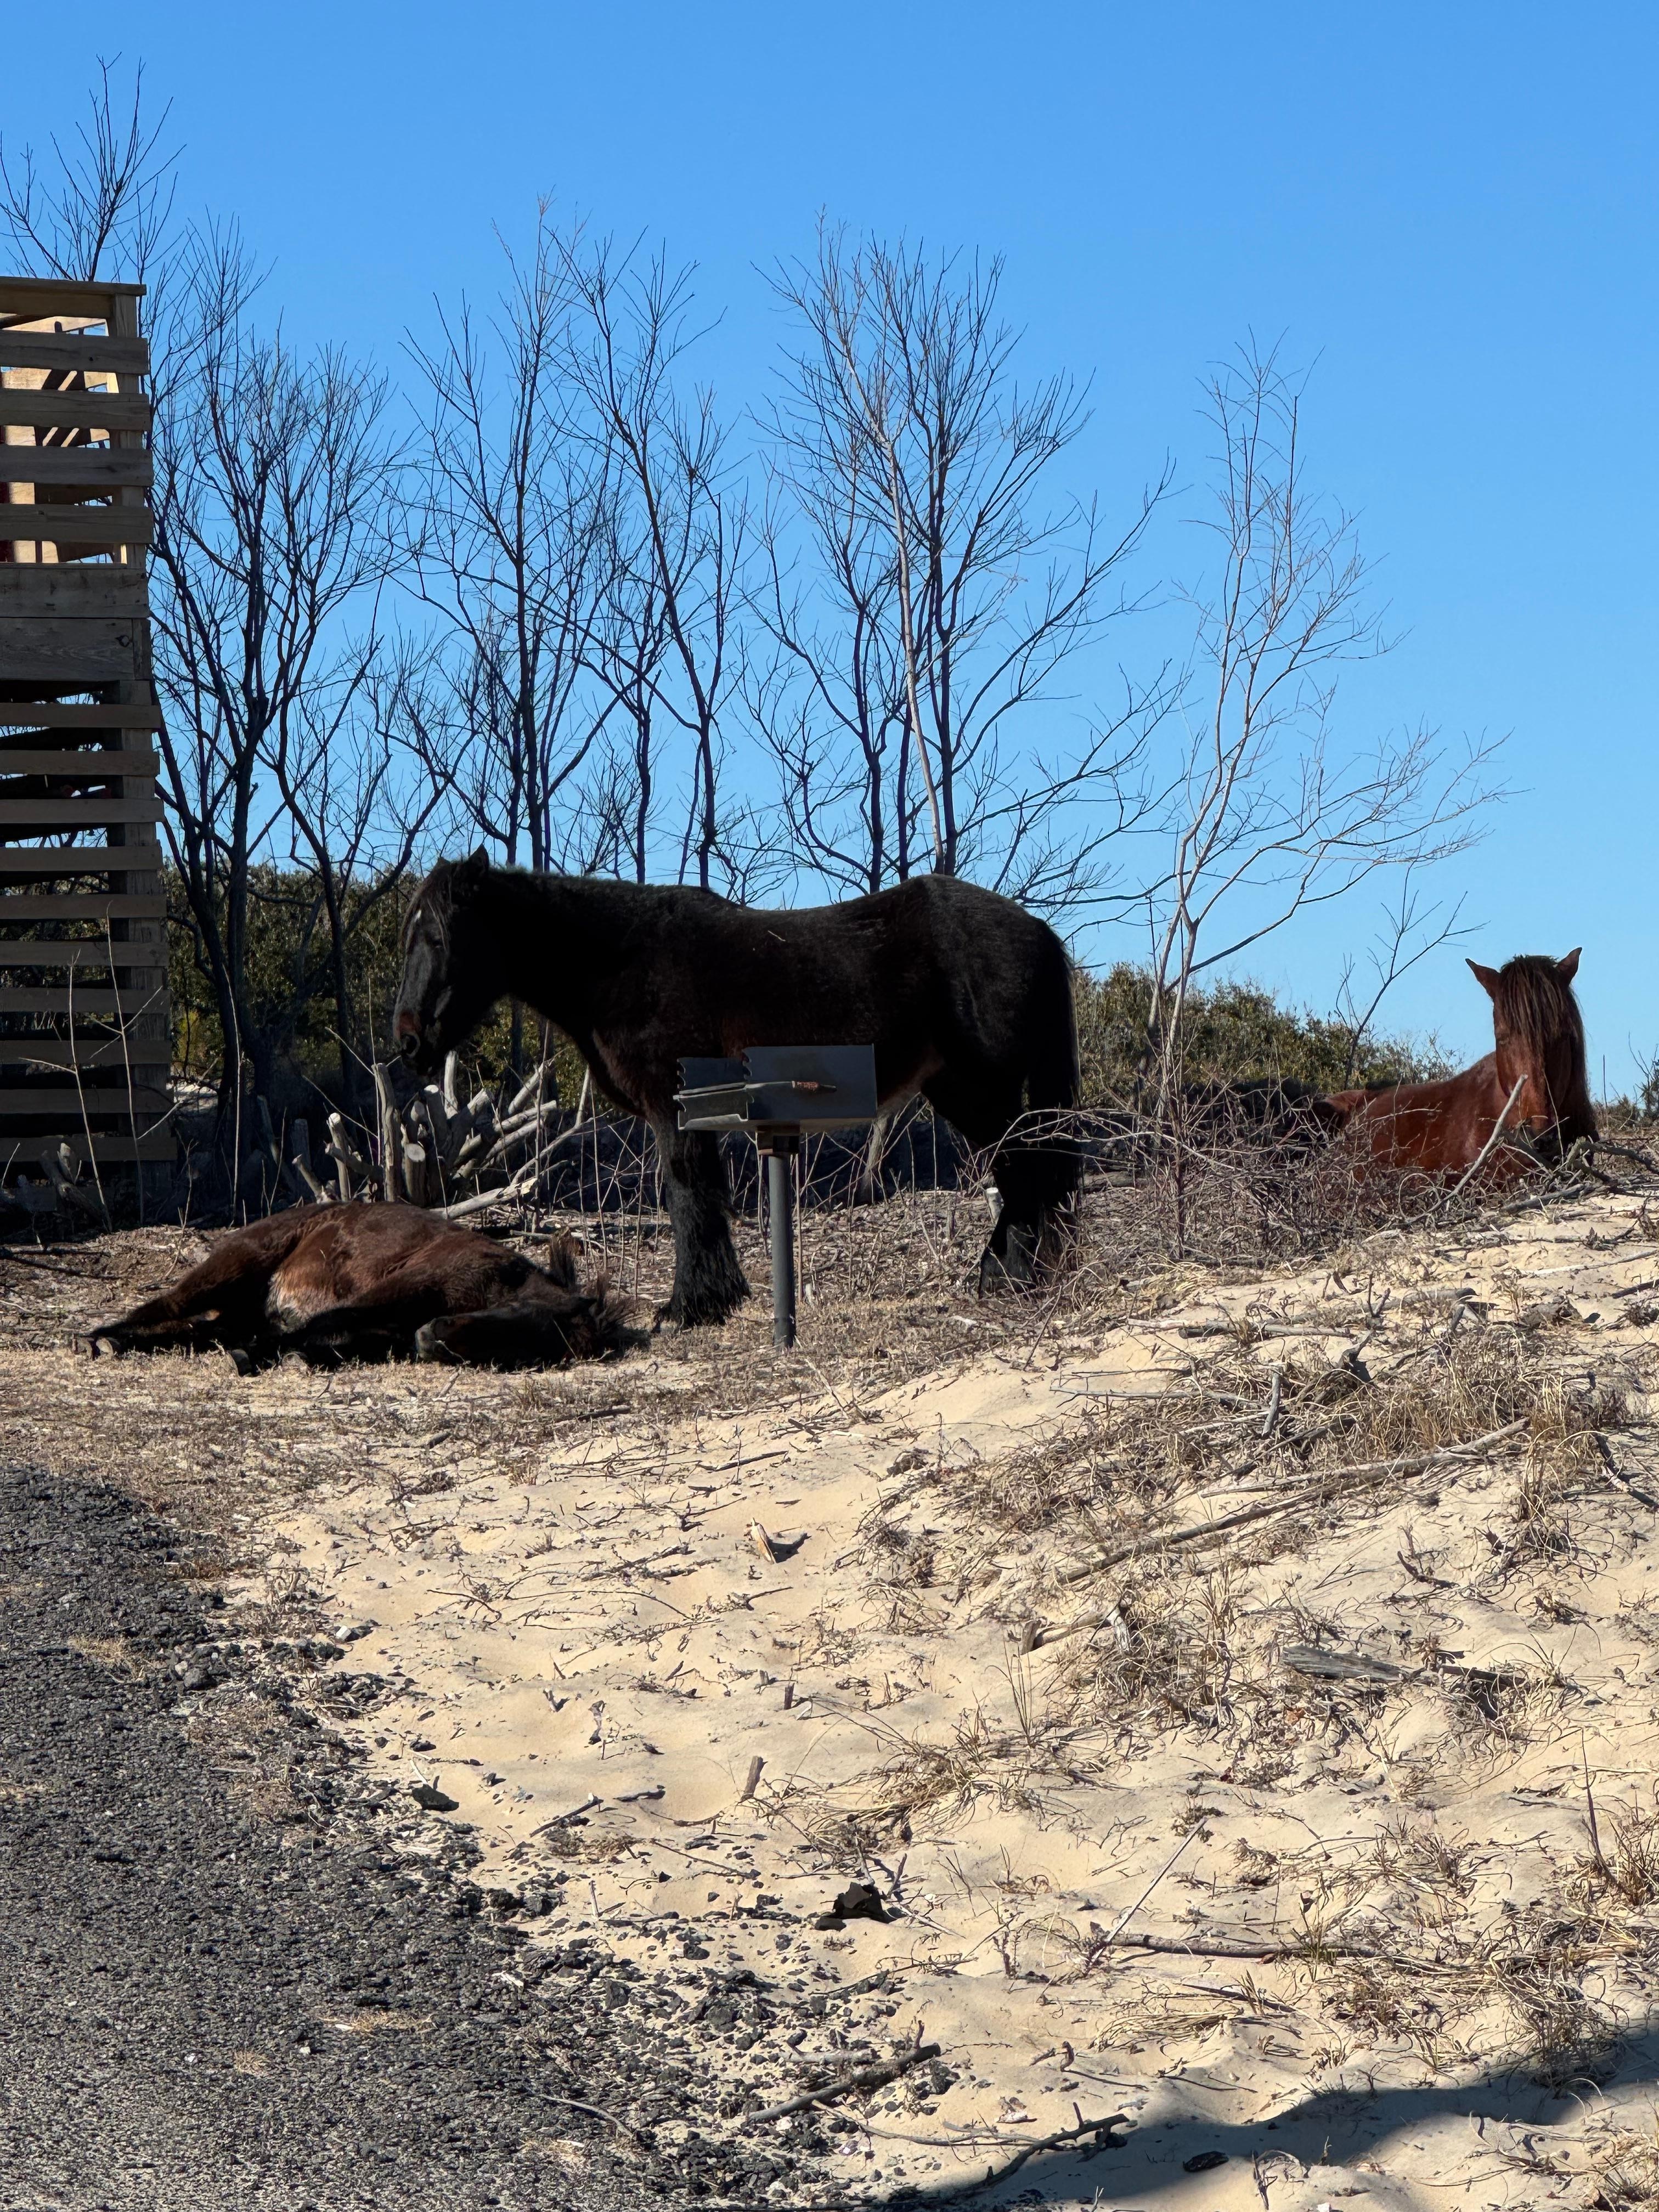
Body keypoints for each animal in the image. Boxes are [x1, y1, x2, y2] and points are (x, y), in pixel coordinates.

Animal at [89, 1203, 634, 1370]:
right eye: (523, 1318)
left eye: (524, 1353)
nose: (431, 1338)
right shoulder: (405, 1287)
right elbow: (329, 1321)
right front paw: (259, 1356)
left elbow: (331, 1337)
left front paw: (292, 1355)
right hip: (232, 1268)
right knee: (168, 1307)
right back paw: (100, 1339)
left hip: (234, 1309)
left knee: (196, 1331)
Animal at [393, 852, 1081, 1327]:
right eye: (413, 936)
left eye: (441, 938)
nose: (409, 1040)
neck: (622, 962)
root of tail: (1039, 933)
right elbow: (701, 1199)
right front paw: (714, 1297)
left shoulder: (674, 1109)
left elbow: (687, 1198)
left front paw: (690, 1306)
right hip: (963, 1092)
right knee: (1026, 1171)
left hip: (986, 1089)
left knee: (1027, 1170)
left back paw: (1013, 1276)